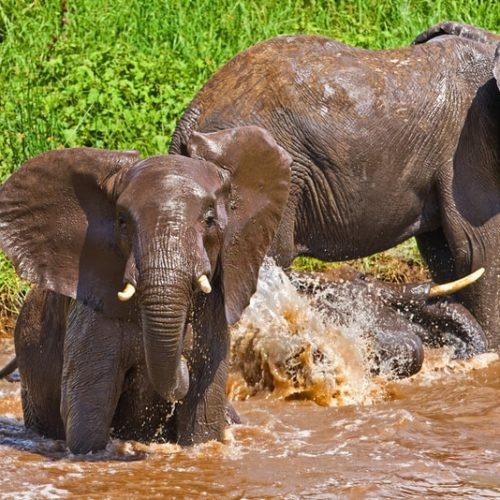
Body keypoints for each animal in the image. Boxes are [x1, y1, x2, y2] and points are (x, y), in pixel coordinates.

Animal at [0, 124, 292, 454]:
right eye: (122, 221)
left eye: (209, 220)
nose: (183, 360)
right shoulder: (89, 314)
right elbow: (87, 413)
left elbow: (204, 418)